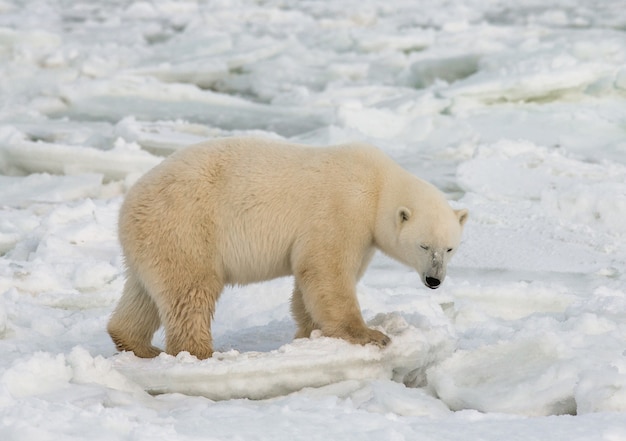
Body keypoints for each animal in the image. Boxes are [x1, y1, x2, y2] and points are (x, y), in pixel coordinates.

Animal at [108, 137, 468, 358]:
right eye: (424, 245)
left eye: (450, 248)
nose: (434, 280)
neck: (379, 185)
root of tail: (128, 206)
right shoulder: (343, 210)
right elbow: (327, 271)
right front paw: (371, 335)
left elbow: (308, 284)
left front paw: (310, 333)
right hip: (187, 228)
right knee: (191, 291)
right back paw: (203, 352)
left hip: (154, 242)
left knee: (144, 295)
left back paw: (139, 345)